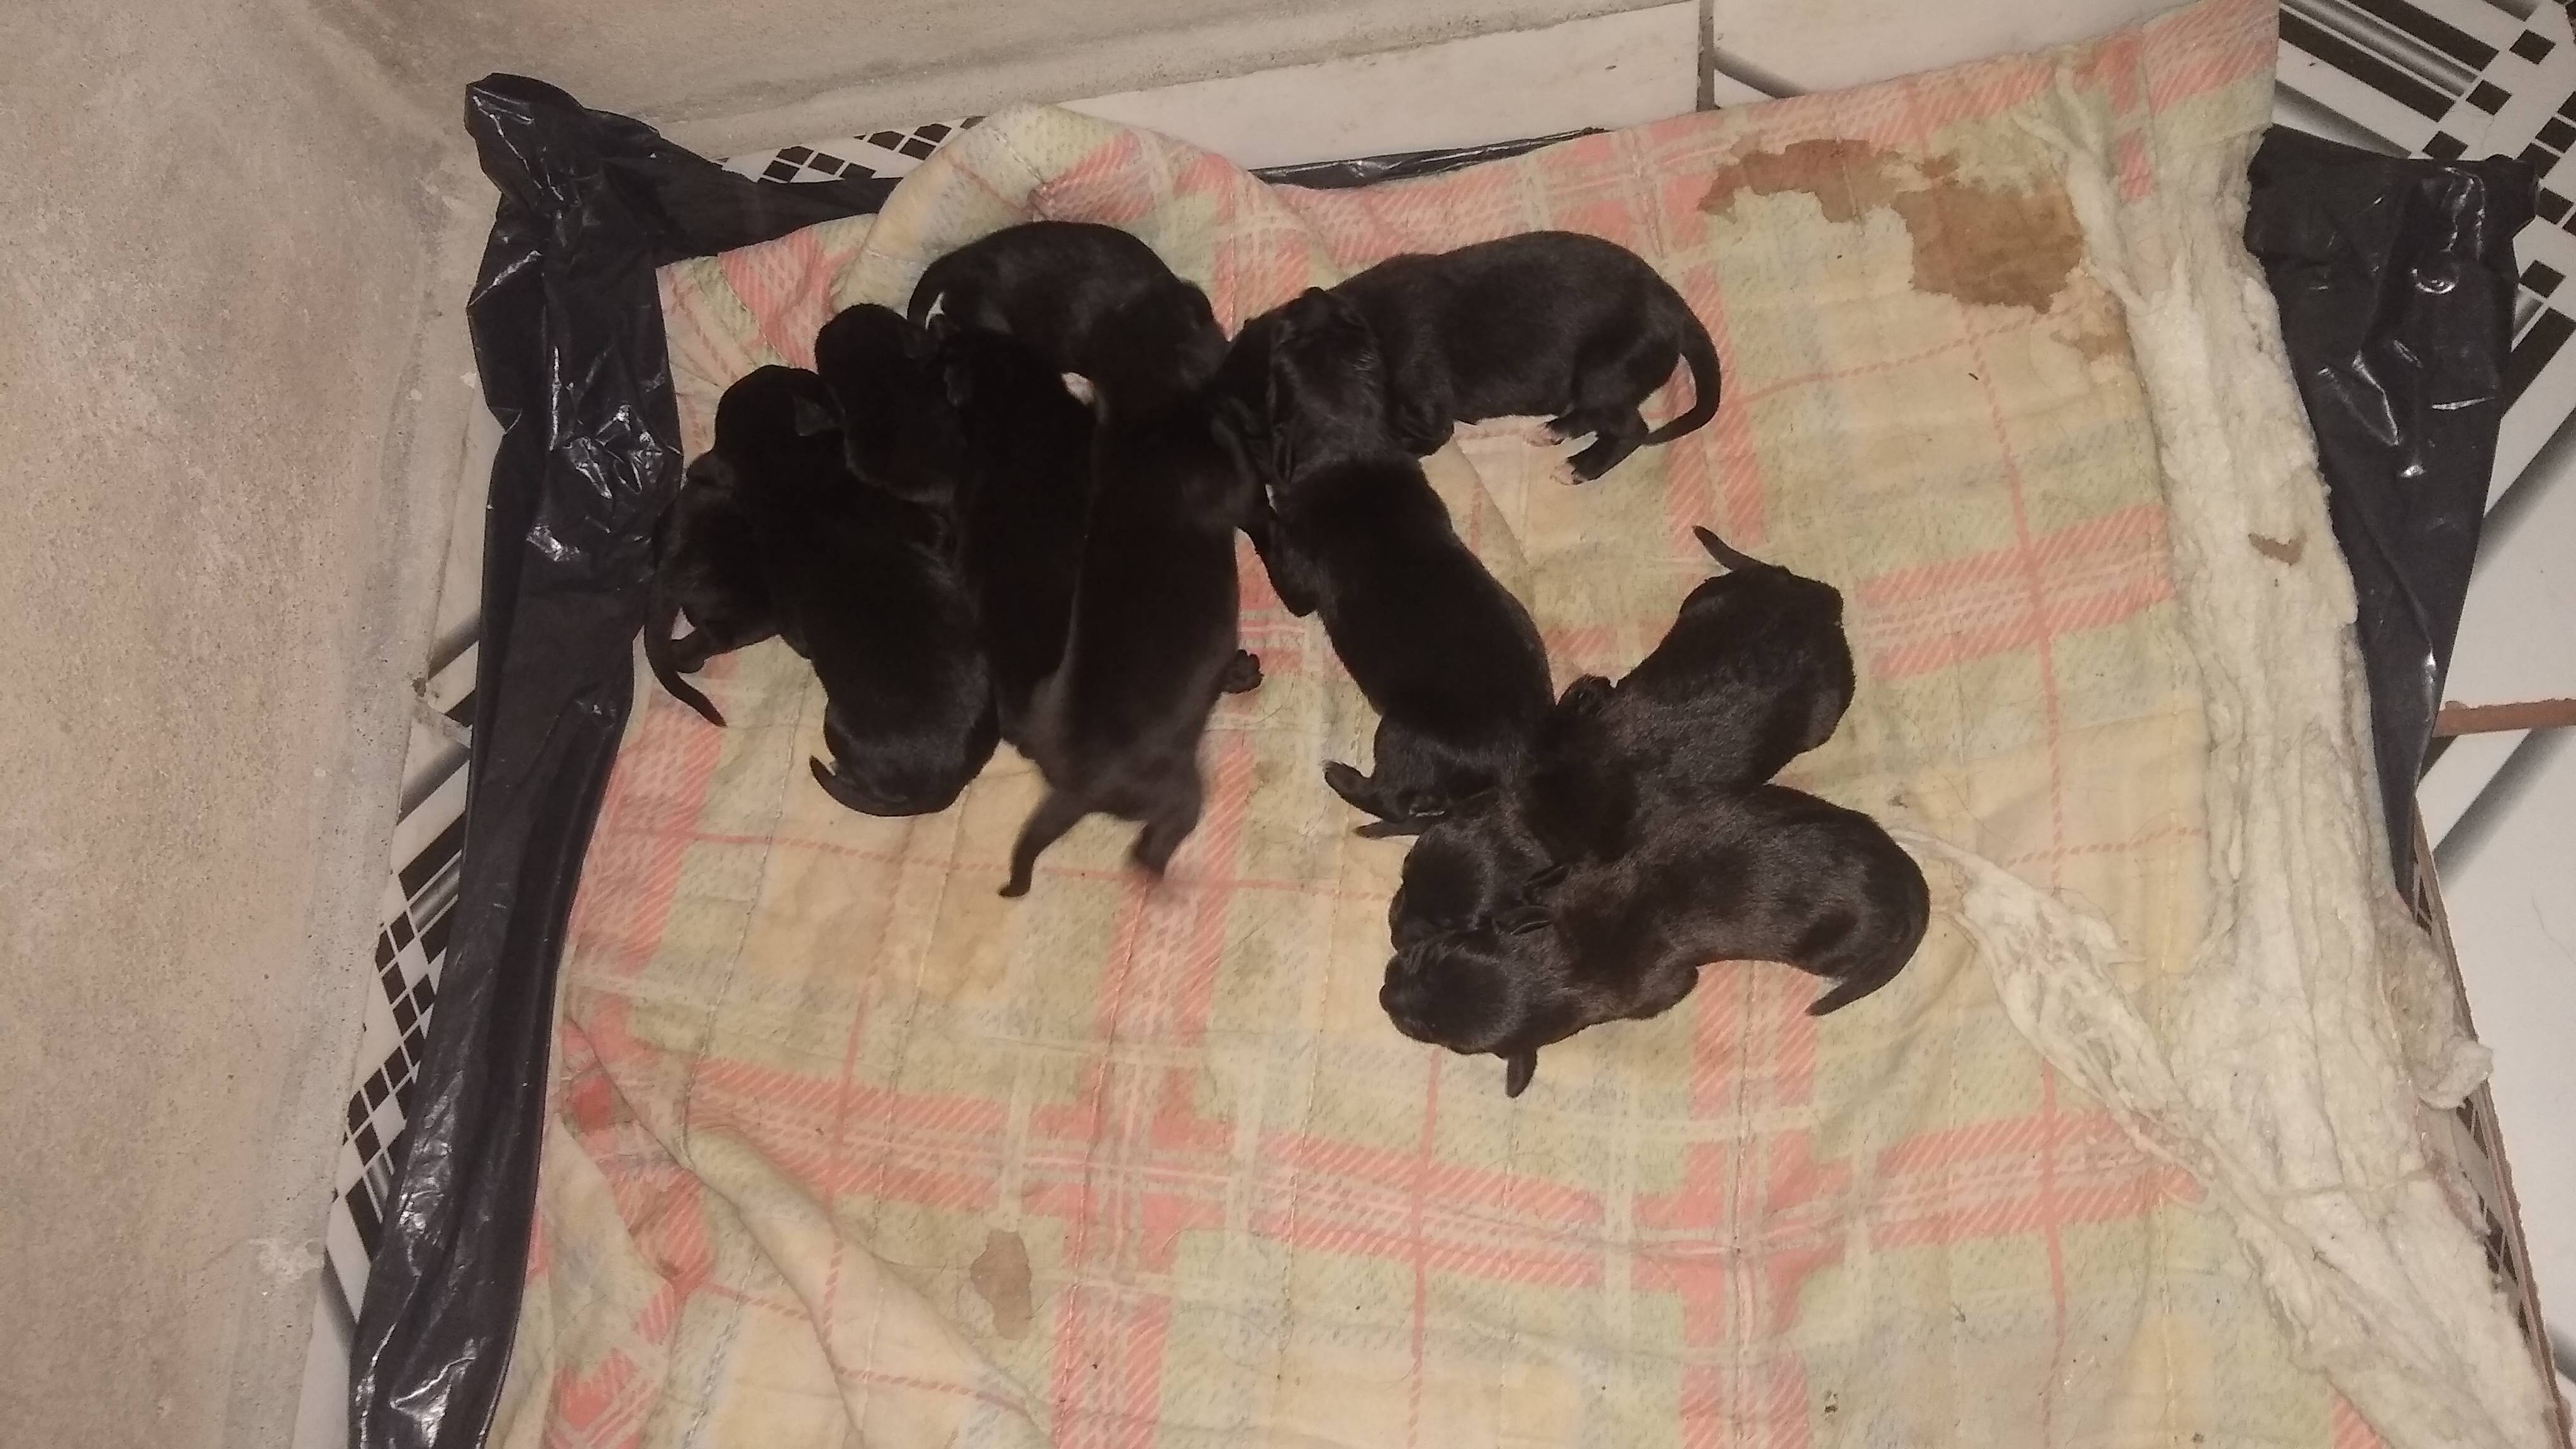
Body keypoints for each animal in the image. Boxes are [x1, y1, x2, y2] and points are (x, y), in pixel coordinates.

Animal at [999, 285, 1263, 895]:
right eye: (1197, 313)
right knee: (1150, 849)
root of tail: (1076, 788)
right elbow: (1242, 472)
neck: (1142, 414)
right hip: (1178, 790)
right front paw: (1230, 415)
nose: (1189, 286)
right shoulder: (1227, 487)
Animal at [1227, 231, 1720, 481]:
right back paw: (1553, 432)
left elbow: (1421, 437)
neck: (1358, 323)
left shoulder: (1428, 410)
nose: (1269, 478)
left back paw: (1577, 466)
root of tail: (1672, 304)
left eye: (1274, 423)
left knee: (1630, 428)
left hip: (1606, 371)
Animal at [1254, 288, 1554, 836]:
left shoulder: (1299, 579)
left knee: (1392, 799)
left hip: (1399, 735)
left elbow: (1273, 533)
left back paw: (1341, 776)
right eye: (1352, 321)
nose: (1313, 293)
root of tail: (1506, 775)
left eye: (1282, 336)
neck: (1349, 440)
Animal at [1380, 784, 1929, 1096]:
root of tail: (1907, 877)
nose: (1385, 993)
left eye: (1433, 1031)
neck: (1562, 954)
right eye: (1434, 954)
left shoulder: (1657, 987)